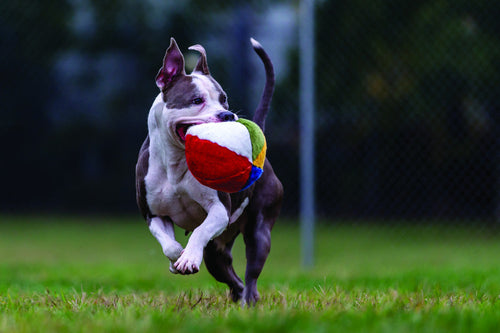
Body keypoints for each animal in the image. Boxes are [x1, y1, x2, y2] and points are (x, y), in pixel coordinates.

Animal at [135, 37, 284, 304]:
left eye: (224, 99)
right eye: (196, 100)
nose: (227, 114)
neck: (176, 161)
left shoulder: (219, 210)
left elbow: (200, 230)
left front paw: (188, 257)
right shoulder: (154, 214)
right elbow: (169, 245)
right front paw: (178, 259)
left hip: (259, 230)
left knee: (251, 275)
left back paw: (249, 300)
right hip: (217, 253)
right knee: (232, 277)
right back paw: (239, 296)